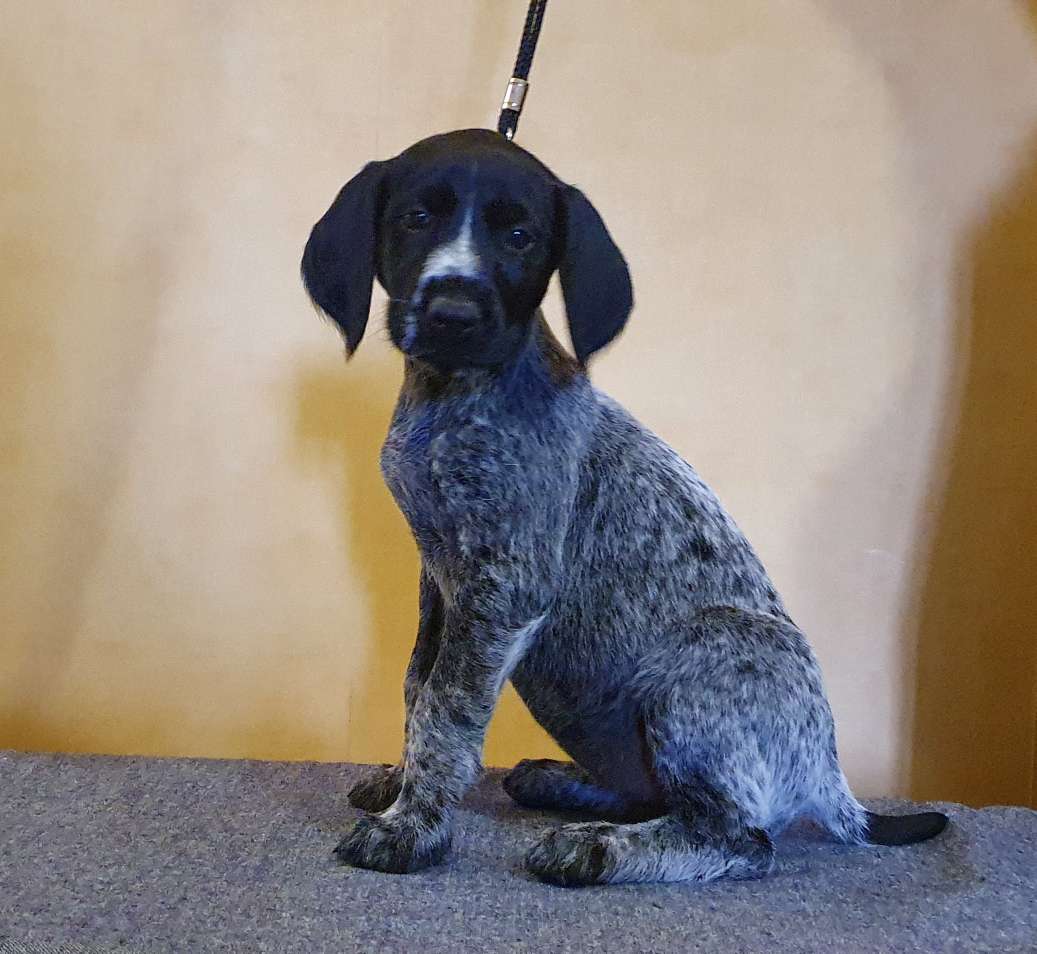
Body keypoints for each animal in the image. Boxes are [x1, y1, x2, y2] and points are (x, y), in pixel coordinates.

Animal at [301, 128, 947, 885]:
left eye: (519, 236)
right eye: (415, 219)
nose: (452, 315)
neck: (453, 396)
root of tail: (829, 775)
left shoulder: (505, 585)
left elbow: (446, 706)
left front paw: (414, 827)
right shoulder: (440, 576)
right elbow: (416, 684)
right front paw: (403, 786)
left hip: (704, 660)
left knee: (739, 838)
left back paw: (596, 847)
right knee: (658, 796)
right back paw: (565, 785)